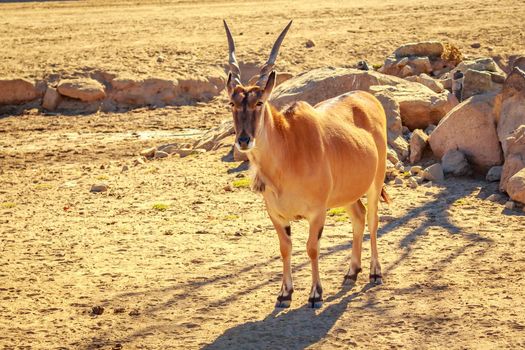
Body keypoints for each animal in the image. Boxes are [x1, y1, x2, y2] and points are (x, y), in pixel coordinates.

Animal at [223, 20, 390, 308]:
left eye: (259, 102)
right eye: (232, 102)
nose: (244, 140)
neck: (288, 150)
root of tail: (368, 98)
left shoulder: (317, 212)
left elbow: (312, 248)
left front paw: (315, 294)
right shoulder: (277, 215)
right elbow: (285, 248)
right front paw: (284, 293)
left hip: (375, 183)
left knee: (372, 220)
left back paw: (374, 272)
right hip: (347, 194)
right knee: (358, 217)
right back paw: (351, 272)